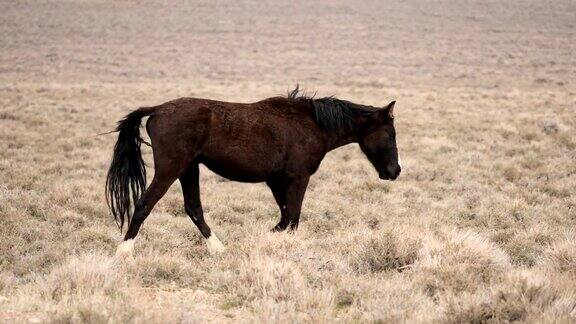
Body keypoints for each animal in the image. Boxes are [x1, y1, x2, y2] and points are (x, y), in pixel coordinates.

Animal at [107, 86, 400, 258]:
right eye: (391, 134)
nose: (395, 171)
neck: (311, 123)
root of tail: (157, 110)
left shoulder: (276, 180)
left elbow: (285, 216)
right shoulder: (297, 178)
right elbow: (293, 217)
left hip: (188, 169)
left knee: (194, 208)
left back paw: (219, 249)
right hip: (171, 169)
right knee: (145, 204)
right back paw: (124, 251)